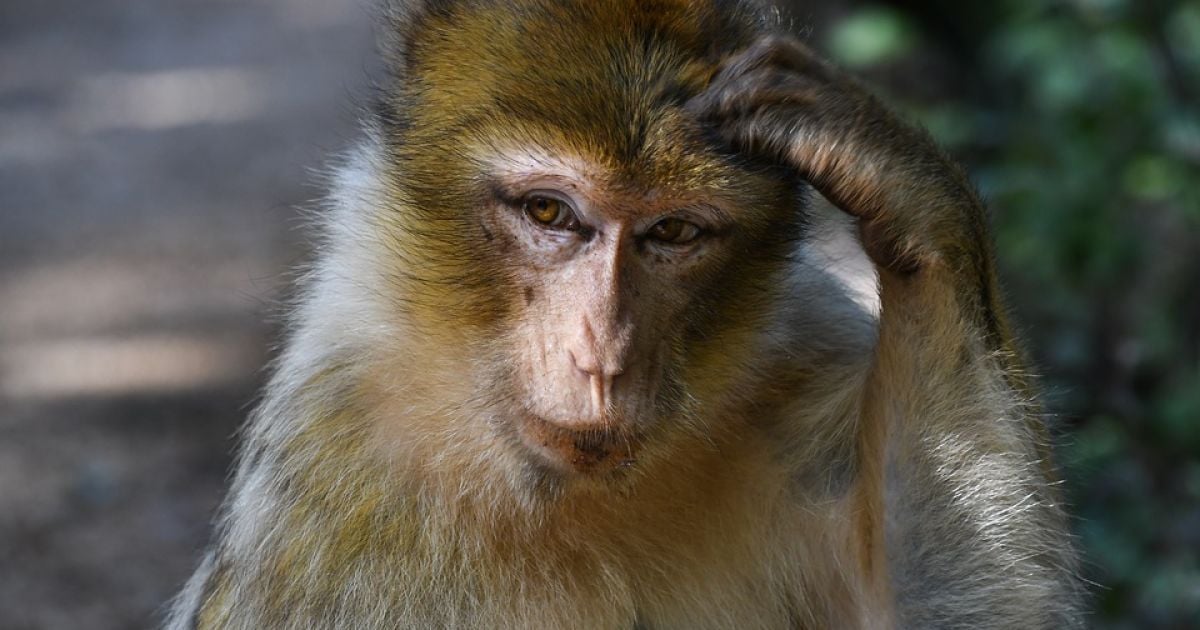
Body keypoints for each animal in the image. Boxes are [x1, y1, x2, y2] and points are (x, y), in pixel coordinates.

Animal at [166, 0, 1082, 627]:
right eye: (549, 213)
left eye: (672, 231)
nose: (601, 358)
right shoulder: (330, 477)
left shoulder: (805, 368)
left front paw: (896, 173)